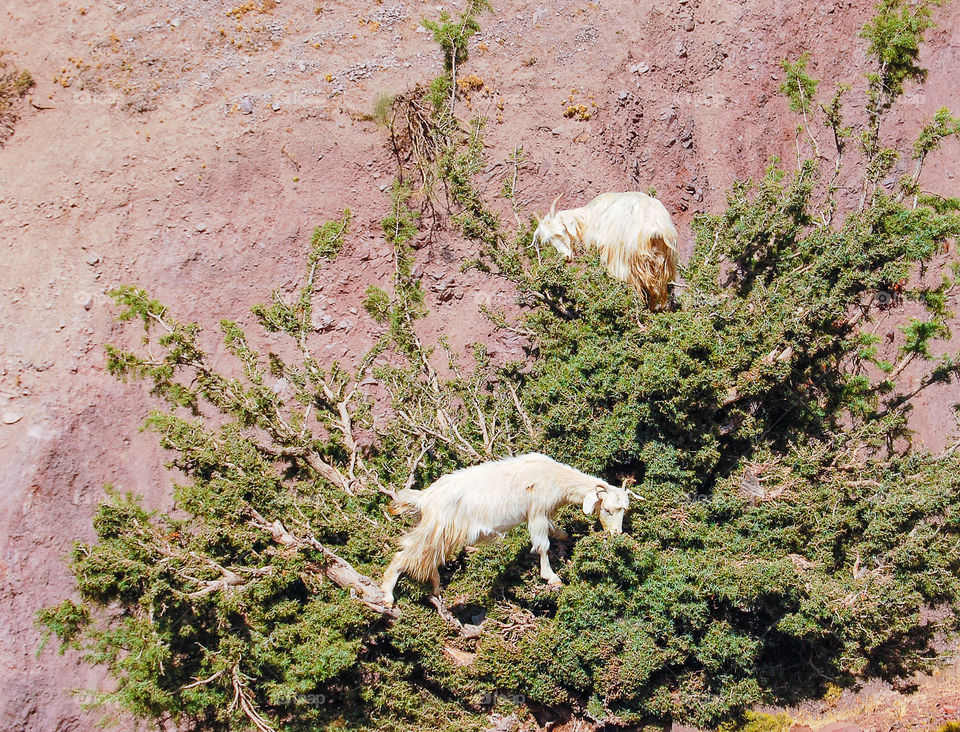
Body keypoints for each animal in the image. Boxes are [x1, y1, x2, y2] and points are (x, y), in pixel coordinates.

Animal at [380, 453, 630, 605]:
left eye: (623, 510)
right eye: (607, 509)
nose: (616, 534)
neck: (555, 479)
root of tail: (425, 497)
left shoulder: (545, 514)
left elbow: (555, 530)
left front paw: (565, 536)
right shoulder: (536, 512)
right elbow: (542, 545)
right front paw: (551, 577)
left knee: (429, 558)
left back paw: (435, 588)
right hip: (437, 529)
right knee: (405, 555)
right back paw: (387, 596)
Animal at [532, 191, 678, 310]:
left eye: (562, 230)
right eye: (550, 241)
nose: (566, 257)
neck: (588, 217)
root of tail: (656, 229)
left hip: (627, 262)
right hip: (662, 263)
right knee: (655, 290)